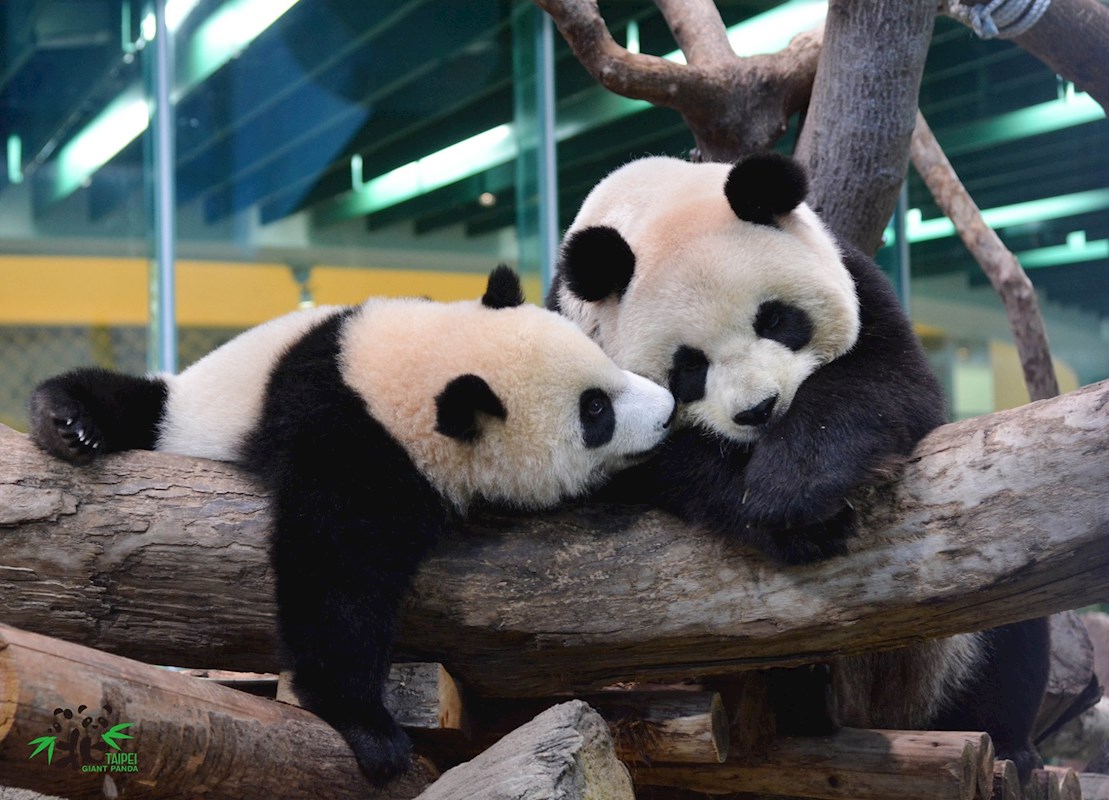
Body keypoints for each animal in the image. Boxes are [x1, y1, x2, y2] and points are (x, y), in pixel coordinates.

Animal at [550, 153, 1051, 776]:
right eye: (688, 367)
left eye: (775, 320)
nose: (760, 409)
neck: (645, 198)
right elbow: (655, 462)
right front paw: (792, 521)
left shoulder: (857, 279)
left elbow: (887, 382)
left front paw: (796, 486)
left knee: (1008, 628)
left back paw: (1010, 743)